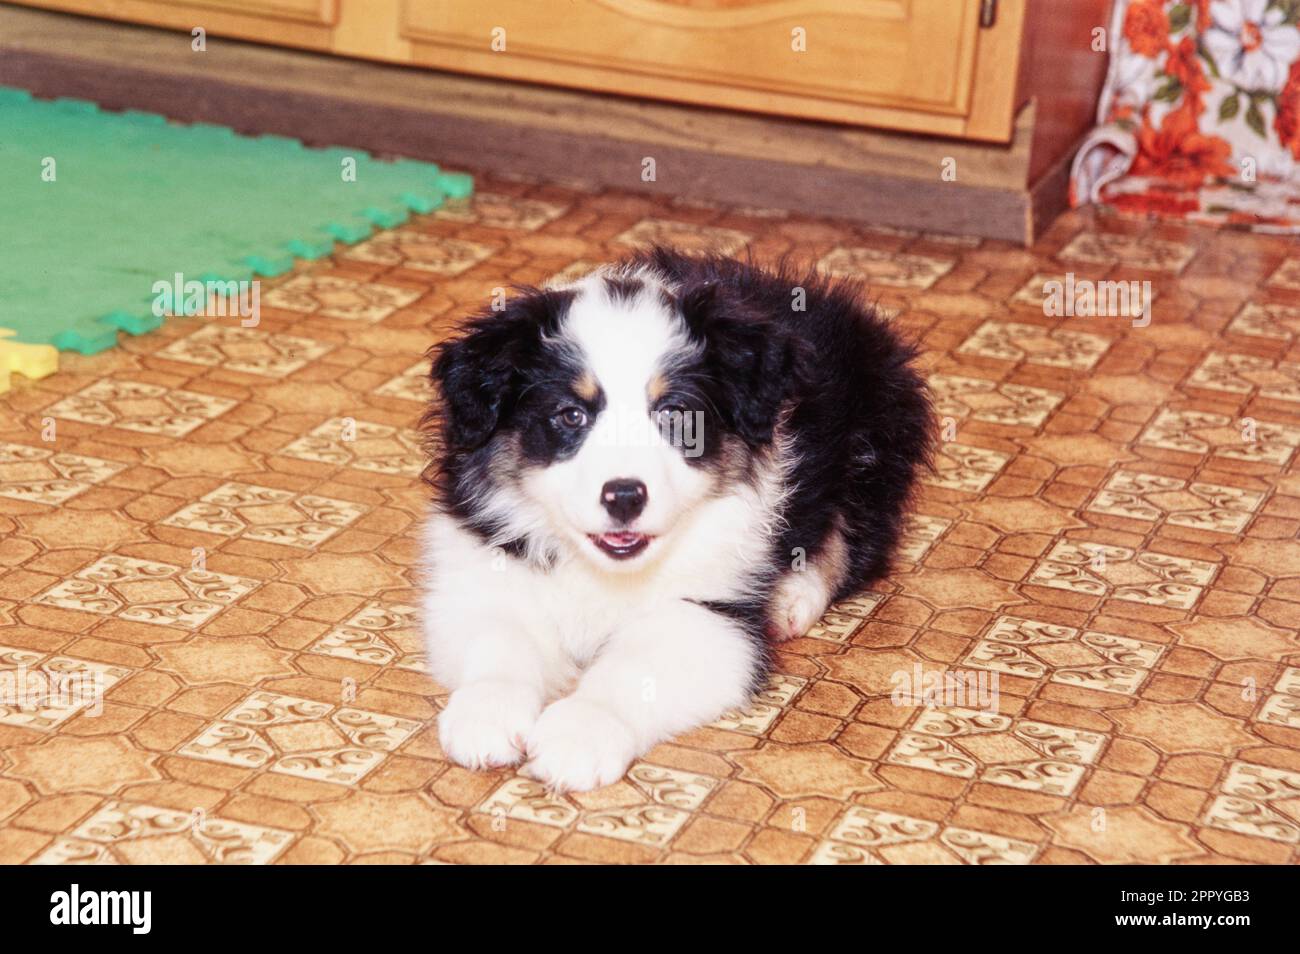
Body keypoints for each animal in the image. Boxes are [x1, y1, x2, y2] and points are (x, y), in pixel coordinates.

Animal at [421, 246, 930, 790]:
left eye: (675, 416)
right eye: (571, 415)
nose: (624, 496)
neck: (605, 574)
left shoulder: (708, 613)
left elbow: (632, 670)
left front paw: (579, 735)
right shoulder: (485, 557)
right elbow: (500, 639)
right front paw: (486, 714)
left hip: (875, 444)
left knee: (853, 542)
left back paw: (792, 597)